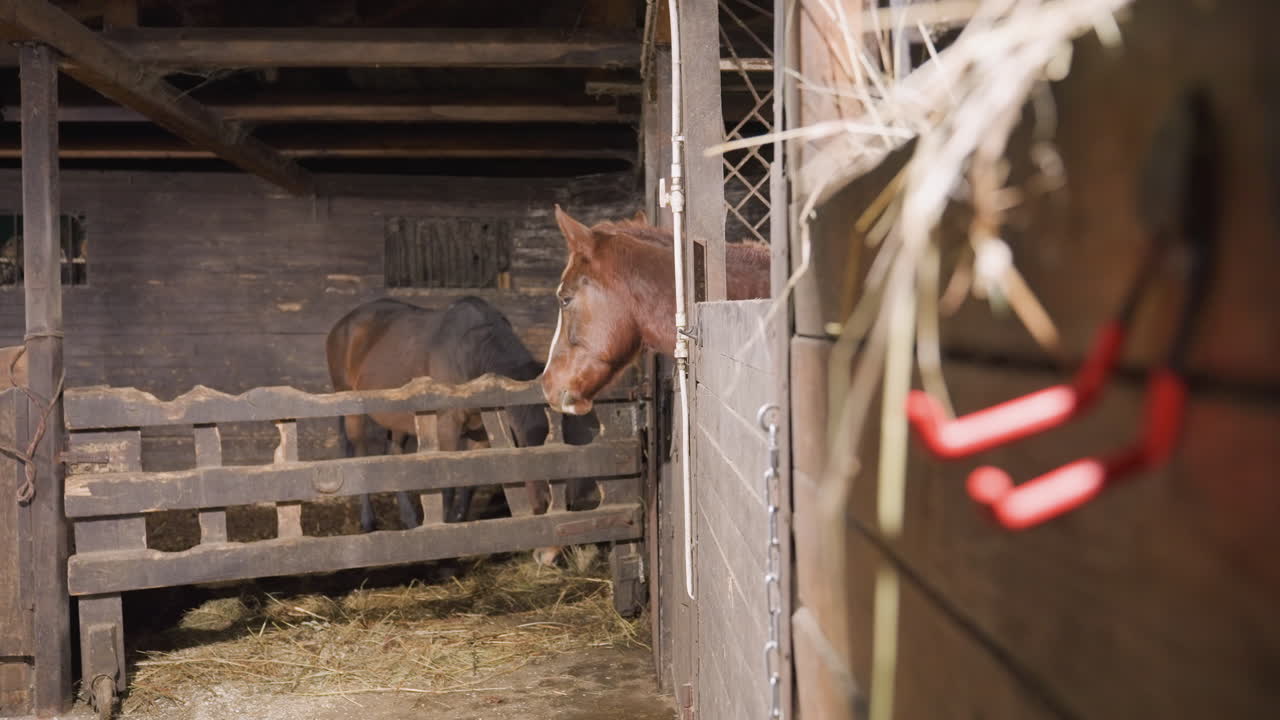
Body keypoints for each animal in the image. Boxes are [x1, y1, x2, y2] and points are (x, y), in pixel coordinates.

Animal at [327, 295, 595, 542]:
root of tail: (344, 323)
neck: (472, 354)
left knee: (393, 453)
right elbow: (449, 482)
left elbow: (470, 480)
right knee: (360, 453)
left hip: (397, 418)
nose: (547, 502)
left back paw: (410, 519)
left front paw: (458, 520)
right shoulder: (447, 427)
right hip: (351, 408)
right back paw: (368, 521)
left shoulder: (483, 433)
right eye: (520, 441)